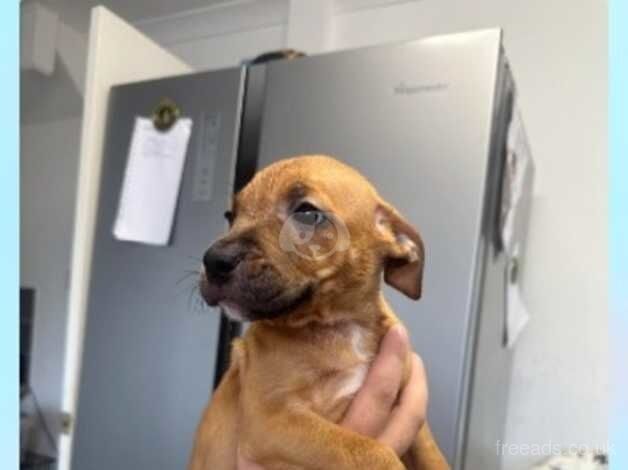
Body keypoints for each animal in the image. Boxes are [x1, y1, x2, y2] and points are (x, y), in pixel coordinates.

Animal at [189, 156, 448, 468]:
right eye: (230, 215)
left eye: (307, 213)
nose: (214, 261)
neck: (341, 326)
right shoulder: (270, 420)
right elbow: (367, 450)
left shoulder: (415, 419)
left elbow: (433, 457)